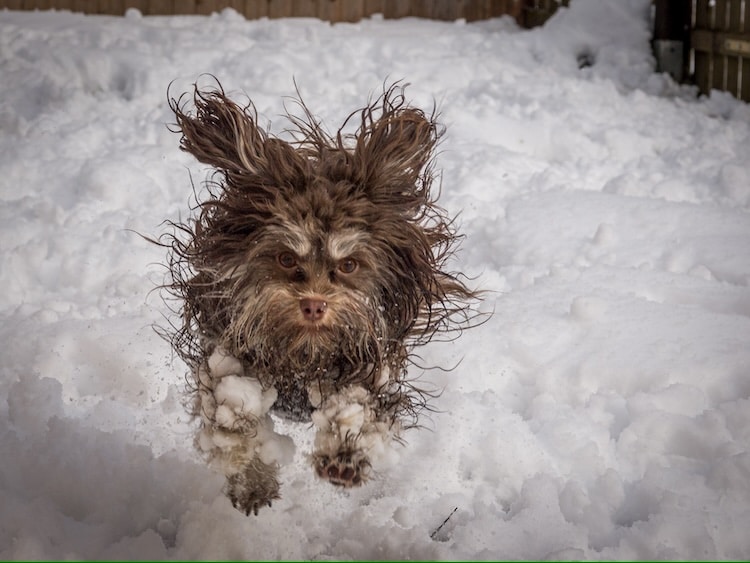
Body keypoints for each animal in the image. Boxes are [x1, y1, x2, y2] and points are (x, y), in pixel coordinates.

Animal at [163, 79, 482, 516]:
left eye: (348, 265)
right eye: (285, 258)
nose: (313, 304)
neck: (303, 355)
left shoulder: (368, 368)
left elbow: (358, 411)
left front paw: (344, 457)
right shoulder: (226, 357)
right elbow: (233, 420)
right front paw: (252, 480)